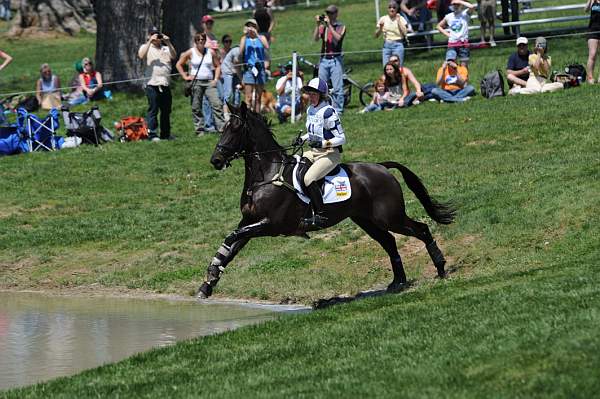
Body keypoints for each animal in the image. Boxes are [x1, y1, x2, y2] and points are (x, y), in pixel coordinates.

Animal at [197, 103, 454, 300]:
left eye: (235, 128)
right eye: (222, 128)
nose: (215, 160)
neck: (267, 174)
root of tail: (381, 167)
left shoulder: (270, 224)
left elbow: (231, 238)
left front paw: (210, 278)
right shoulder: (249, 222)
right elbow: (229, 247)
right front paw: (208, 283)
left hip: (390, 217)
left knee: (421, 229)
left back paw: (441, 268)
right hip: (366, 220)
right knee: (389, 241)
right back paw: (398, 282)